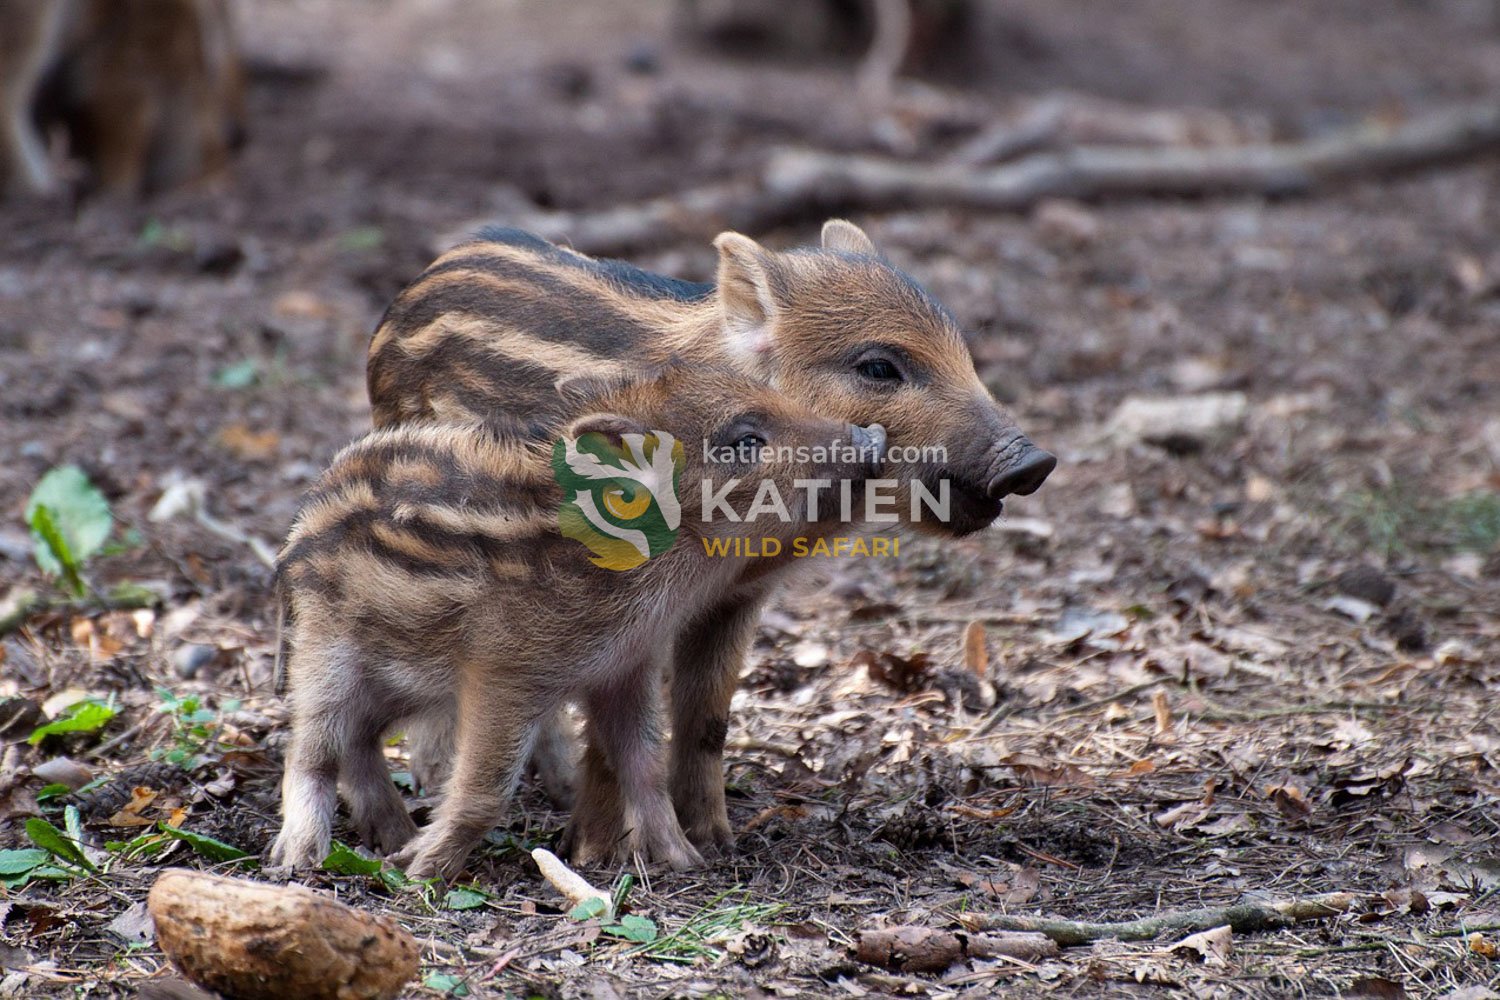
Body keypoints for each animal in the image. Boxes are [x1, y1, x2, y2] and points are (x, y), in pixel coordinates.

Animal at [270, 362, 885, 879]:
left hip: (403, 678)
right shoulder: (505, 671)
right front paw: (423, 871)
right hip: (327, 652)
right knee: (311, 747)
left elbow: (645, 765)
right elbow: (487, 787)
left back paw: (391, 836)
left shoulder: (624, 669)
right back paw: (302, 859)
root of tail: (300, 526)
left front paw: (685, 862)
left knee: (359, 740)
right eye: (746, 440)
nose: (872, 438)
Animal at [366, 220, 1054, 859]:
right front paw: (595, 854)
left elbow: (705, 718)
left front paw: (717, 841)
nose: (1033, 462)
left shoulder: (737, 599)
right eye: (879, 367)